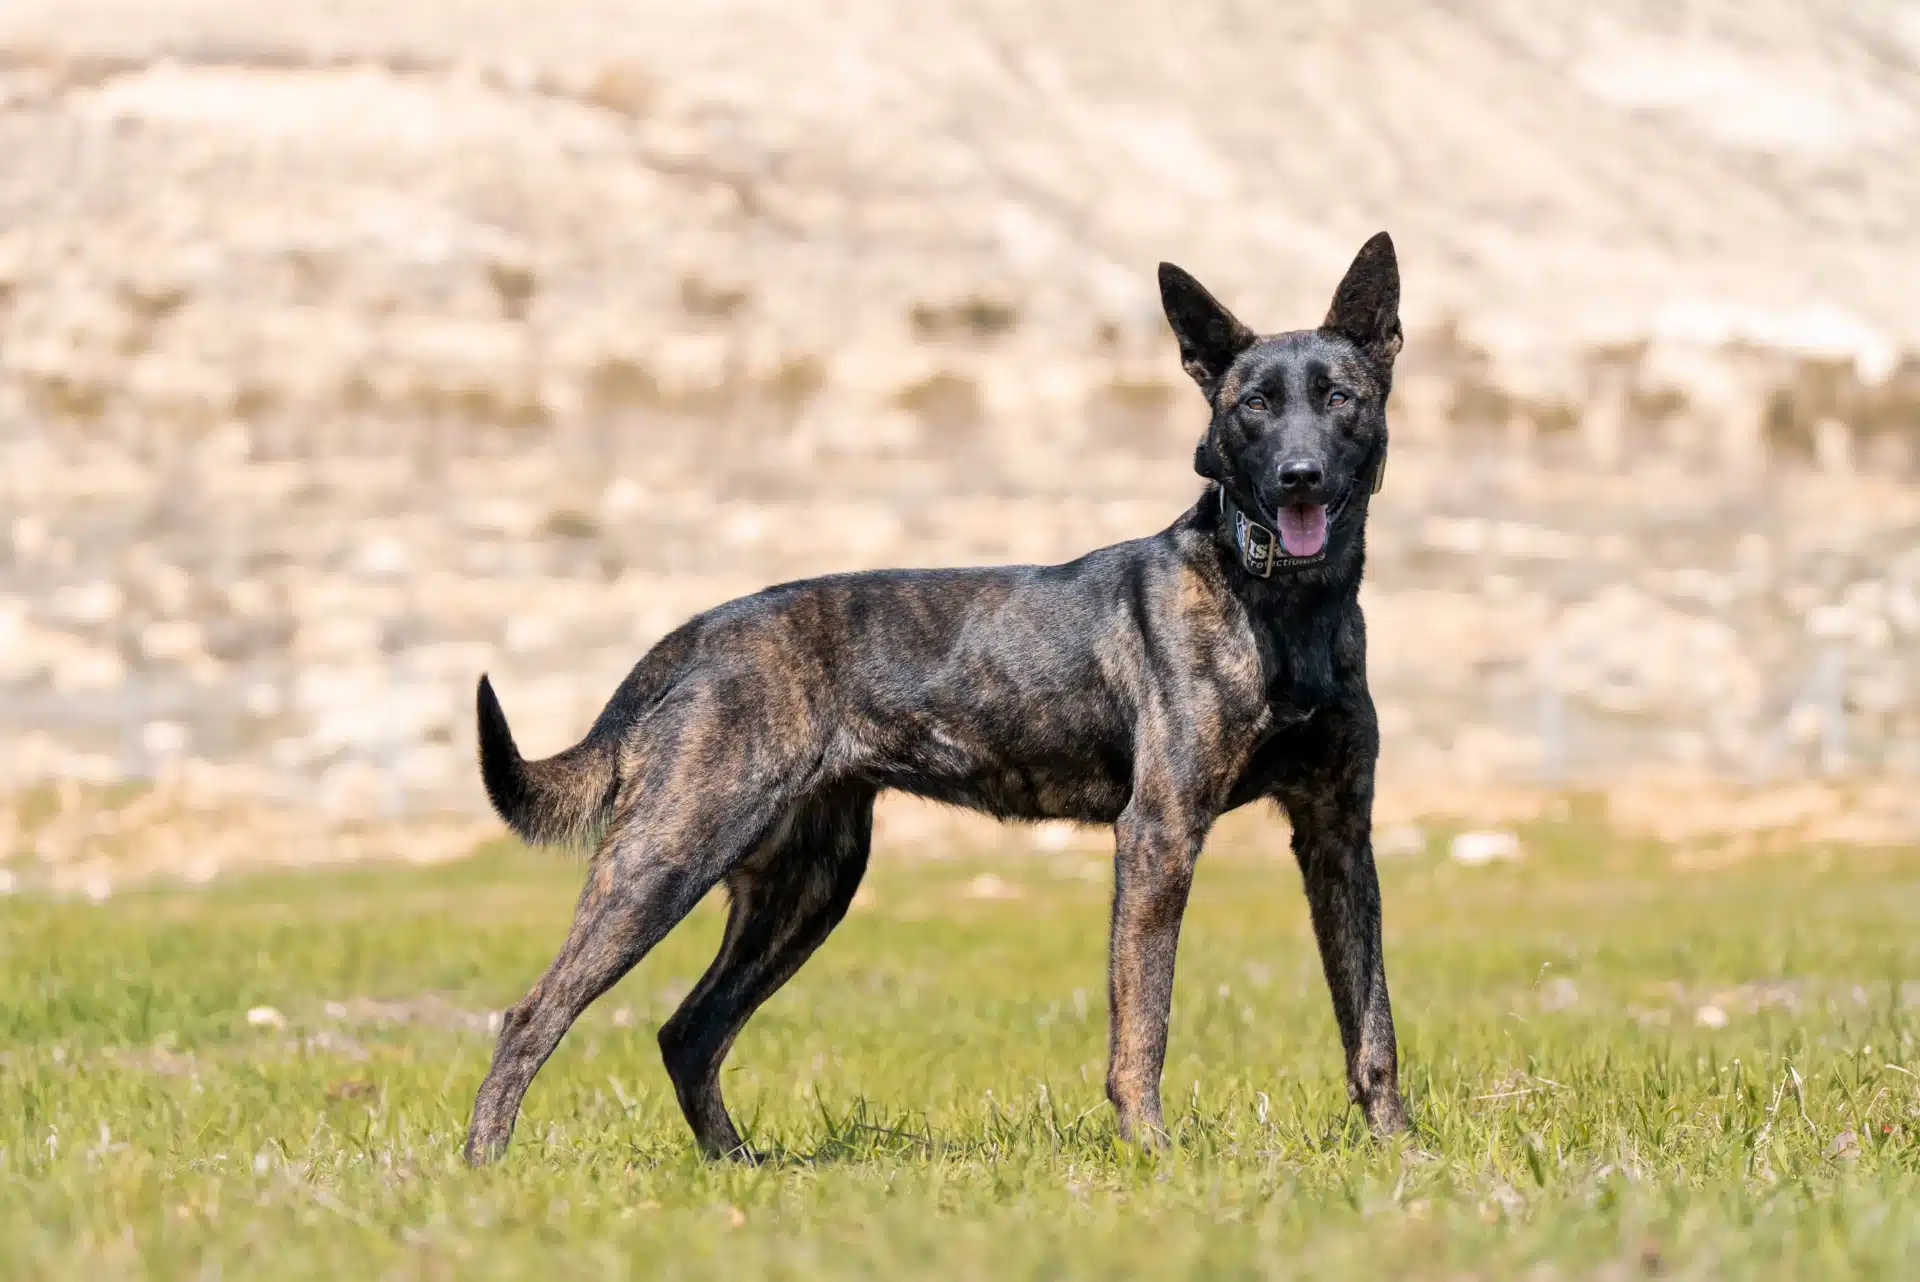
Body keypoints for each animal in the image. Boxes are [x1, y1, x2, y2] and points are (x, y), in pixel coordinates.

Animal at [463, 233, 1410, 1165]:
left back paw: (737, 1168)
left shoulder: (1337, 831)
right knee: (533, 1014)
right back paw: (484, 1168)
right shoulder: (1159, 834)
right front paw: (1150, 1151)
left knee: (687, 1033)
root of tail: (699, 633)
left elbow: (1371, 1017)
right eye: (1252, 405)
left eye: (1338, 398)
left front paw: (1398, 1148)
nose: (1298, 477)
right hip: (669, 855)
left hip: (808, 886)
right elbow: (1144, 1021)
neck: (1287, 605)